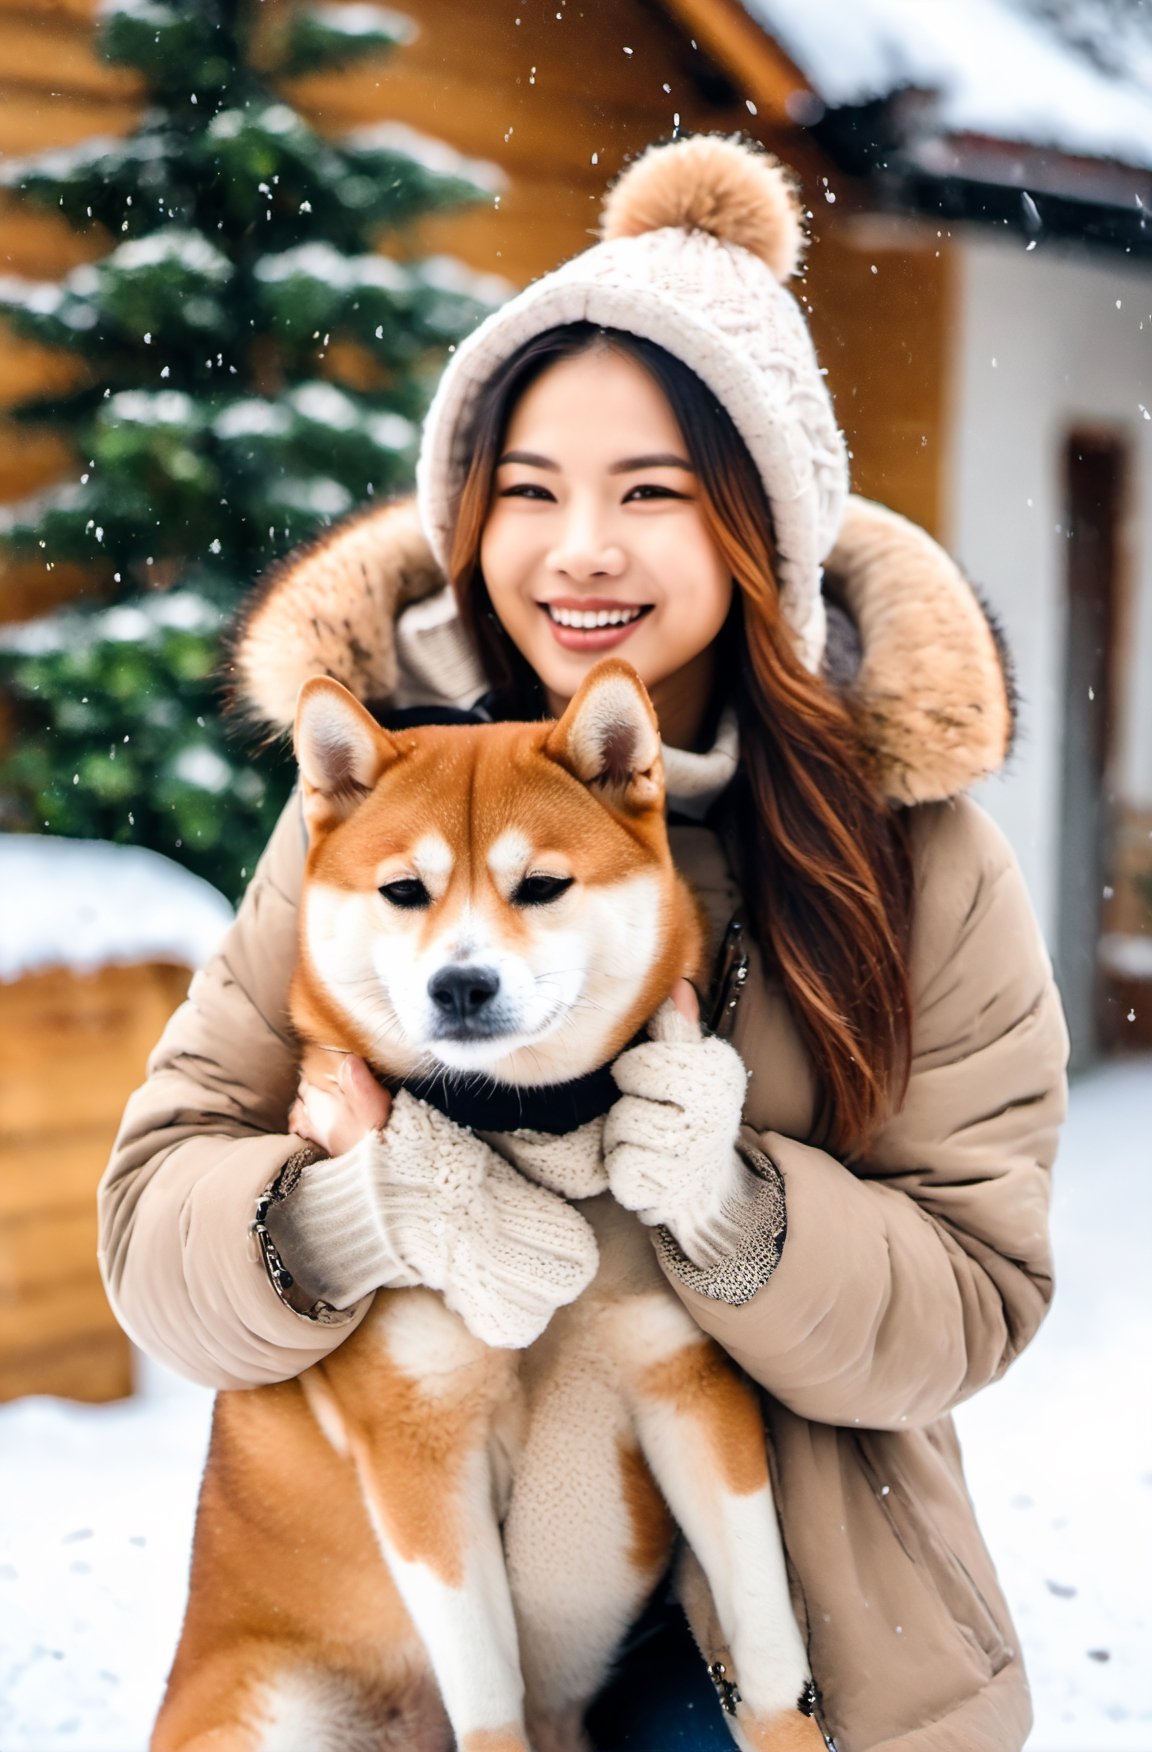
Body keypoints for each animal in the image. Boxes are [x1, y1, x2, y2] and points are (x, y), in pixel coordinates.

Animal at [152, 658, 819, 1752]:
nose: (461, 984)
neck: (526, 1125)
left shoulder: (691, 1392)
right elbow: (491, 1700)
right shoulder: (420, 1447)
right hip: (275, 1706)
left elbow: (767, 1649)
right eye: (404, 891)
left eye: (540, 886)